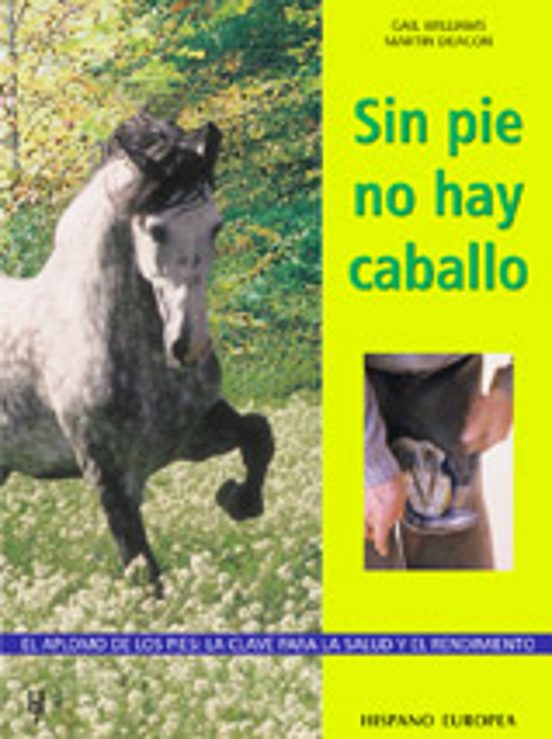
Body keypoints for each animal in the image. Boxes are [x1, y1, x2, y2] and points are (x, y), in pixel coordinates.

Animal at [0, 113, 274, 597]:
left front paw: (238, 500)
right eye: (156, 229)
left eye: (215, 225)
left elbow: (260, 433)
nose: (189, 345)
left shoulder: (190, 436)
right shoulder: (110, 478)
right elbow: (144, 571)